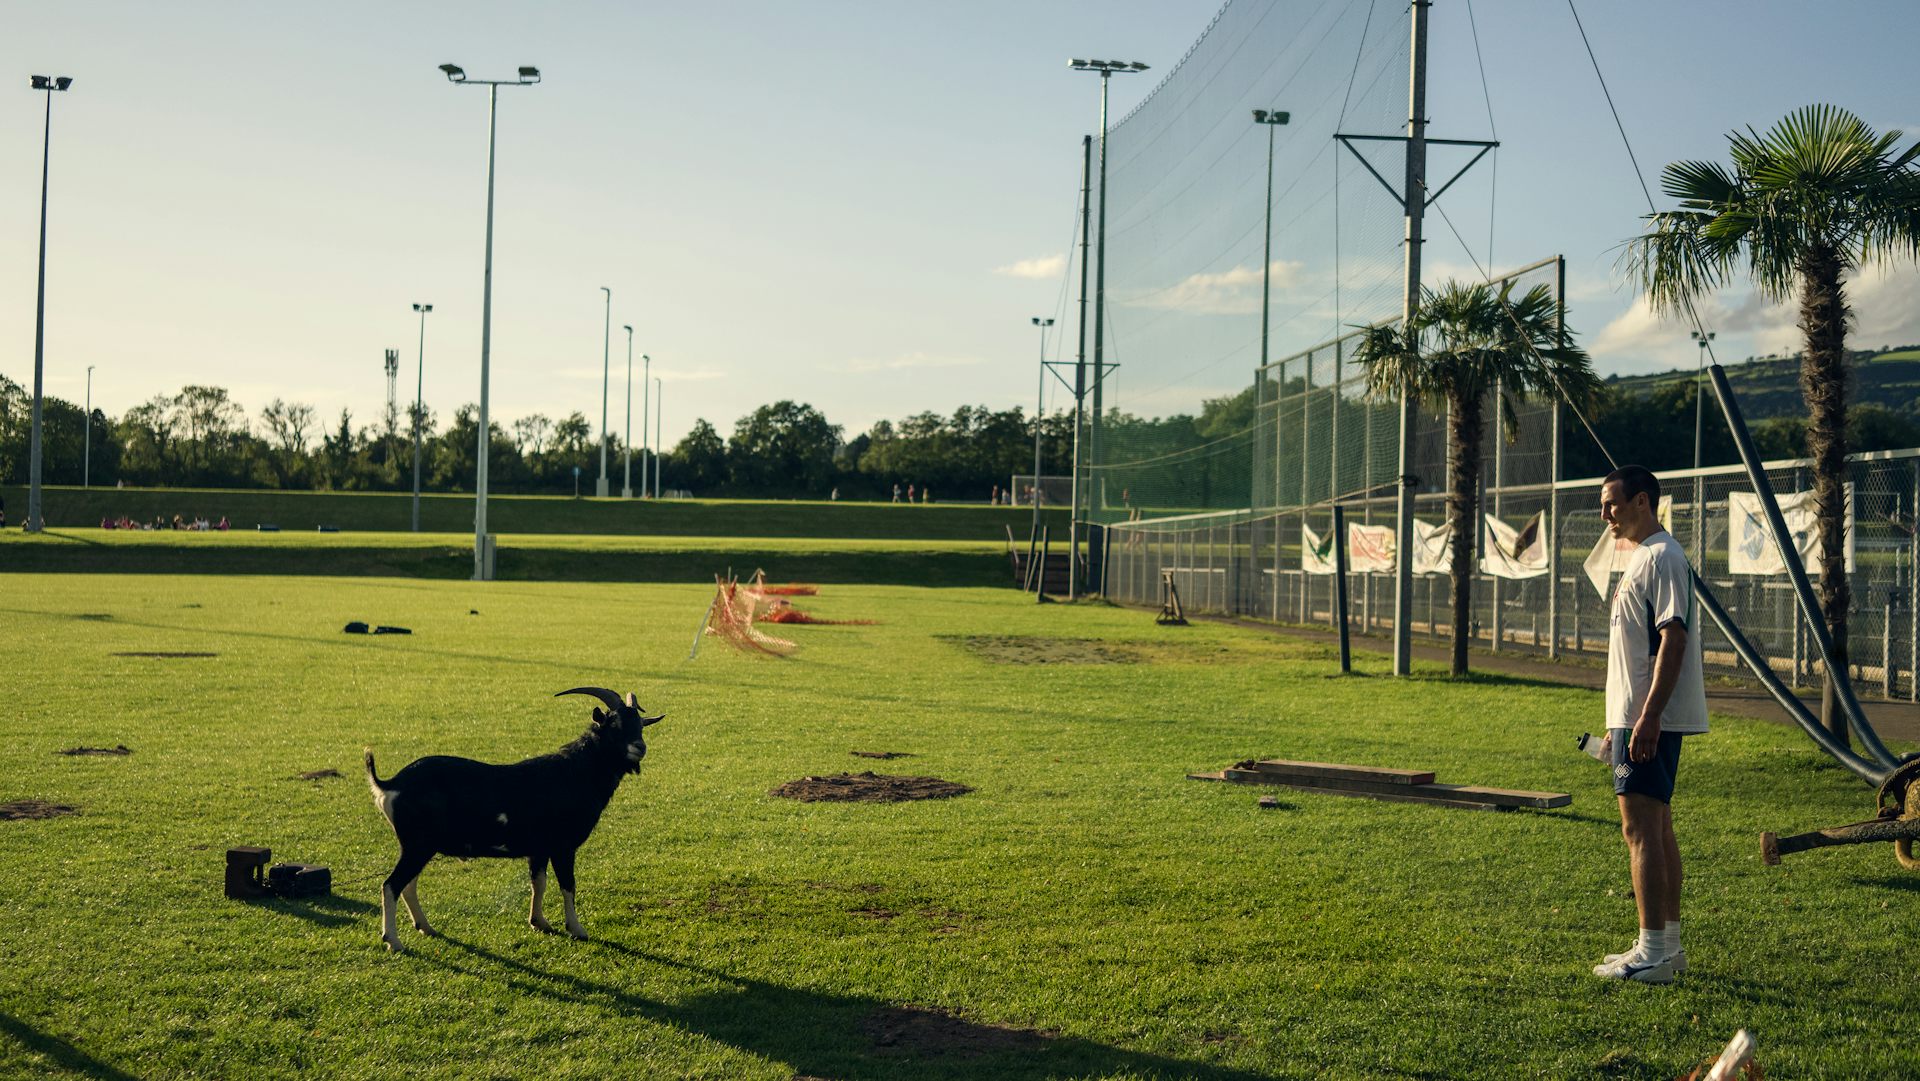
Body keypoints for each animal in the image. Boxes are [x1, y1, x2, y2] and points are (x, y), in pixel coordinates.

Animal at [364, 687, 663, 953]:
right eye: (614, 724)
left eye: (640, 725)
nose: (639, 747)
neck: (575, 772)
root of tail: (390, 784)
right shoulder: (563, 847)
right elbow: (568, 885)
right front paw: (577, 929)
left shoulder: (539, 849)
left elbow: (538, 882)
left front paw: (539, 922)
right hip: (418, 845)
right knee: (391, 885)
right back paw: (393, 941)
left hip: (420, 846)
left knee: (408, 885)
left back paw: (425, 927)